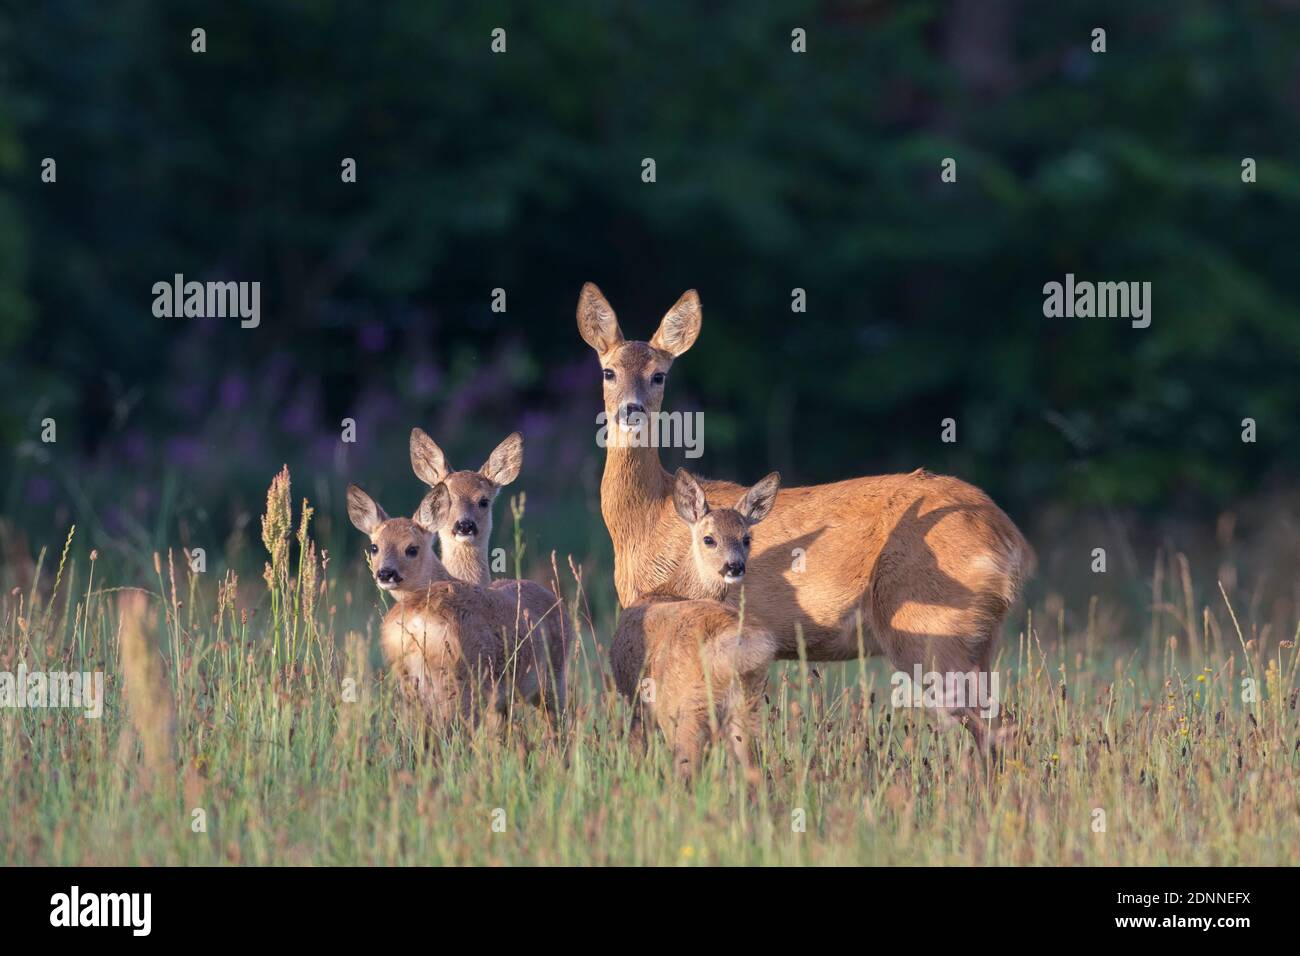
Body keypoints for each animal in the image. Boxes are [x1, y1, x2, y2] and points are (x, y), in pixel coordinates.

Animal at [611, 469, 780, 779]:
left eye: (746, 538)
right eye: (709, 539)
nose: (734, 566)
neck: (672, 589)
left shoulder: (634, 698)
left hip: (685, 704)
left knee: (686, 769)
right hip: (747, 706)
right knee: (753, 770)